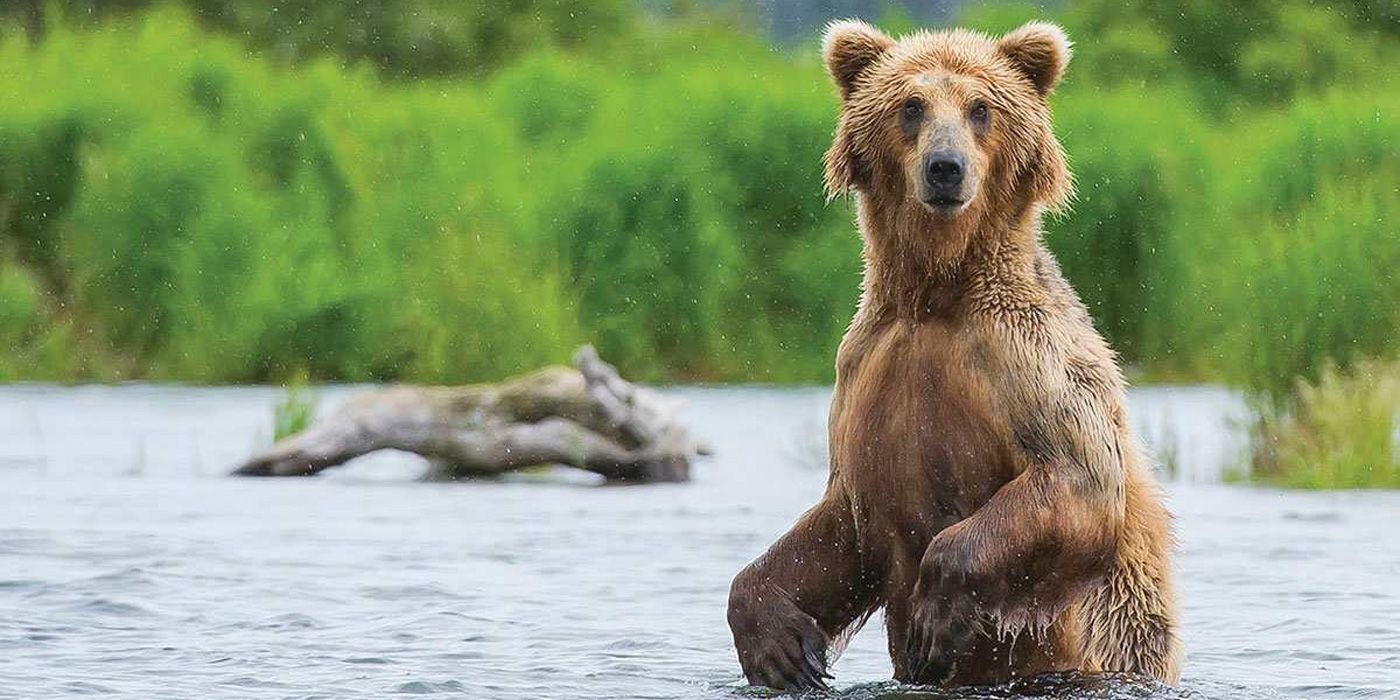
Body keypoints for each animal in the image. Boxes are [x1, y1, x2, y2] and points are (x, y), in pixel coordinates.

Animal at [726, 20, 1182, 692]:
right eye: (911, 106)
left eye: (981, 108)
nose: (946, 168)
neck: (935, 294)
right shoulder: (868, 373)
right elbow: (839, 525)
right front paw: (785, 649)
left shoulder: (1024, 361)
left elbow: (1077, 479)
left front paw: (933, 621)